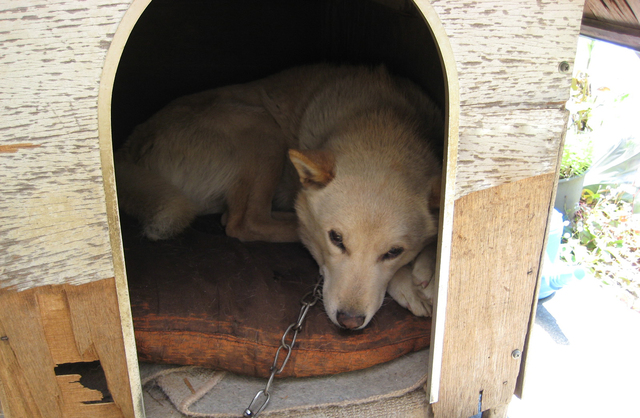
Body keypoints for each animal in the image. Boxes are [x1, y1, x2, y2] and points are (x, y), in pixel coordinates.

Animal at [115, 63, 442, 328]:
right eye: (336, 239)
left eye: (393, 252)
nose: (349, 321)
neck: (381, 121)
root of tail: (128, 148)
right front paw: (409, 282)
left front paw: (427, 266)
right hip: (260, 125)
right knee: (246, 222)